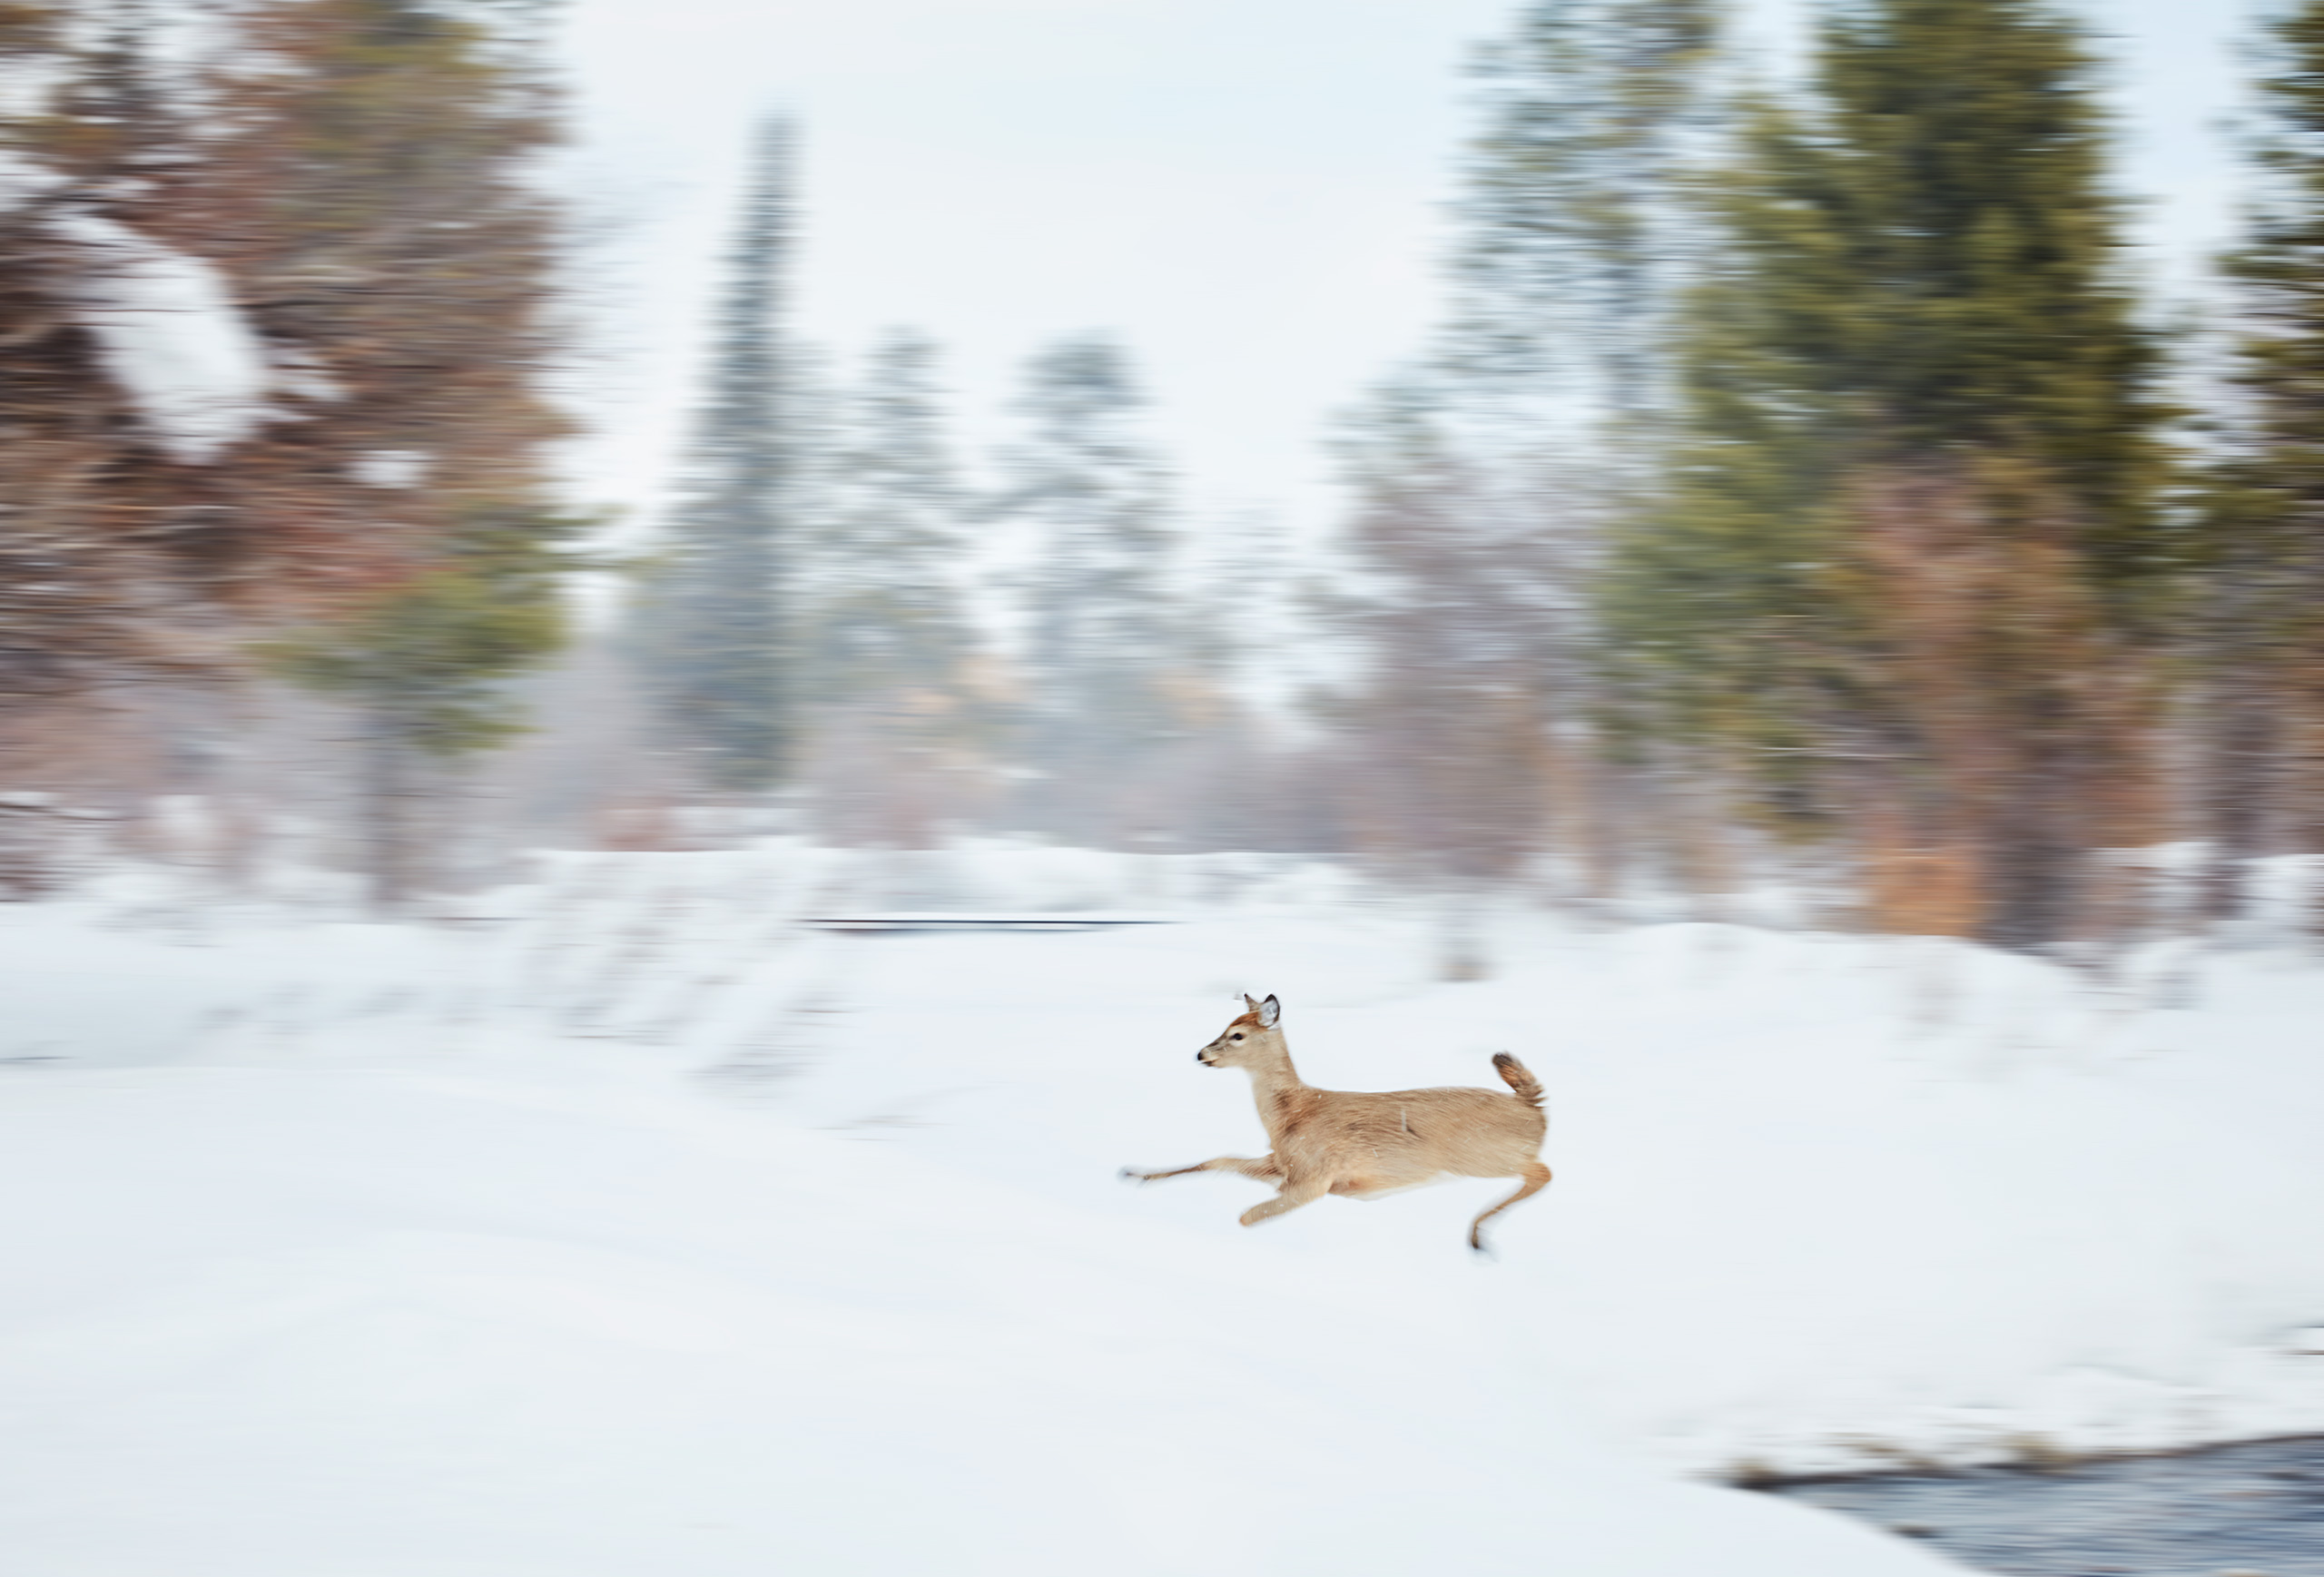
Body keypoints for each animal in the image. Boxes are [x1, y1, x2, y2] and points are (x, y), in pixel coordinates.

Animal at [1129, 993, 1561, 1254]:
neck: (1292, 1116)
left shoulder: (1314, 1178)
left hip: (1480, 1157)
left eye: (1237, 1035)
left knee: (1544, 1173)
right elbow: (1217, 1161)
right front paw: (1138, 1174)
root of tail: (1532, 1108)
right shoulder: (1282, 1168)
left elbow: (1246, 1217)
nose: (1201, 1054)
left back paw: (1477, 1235)